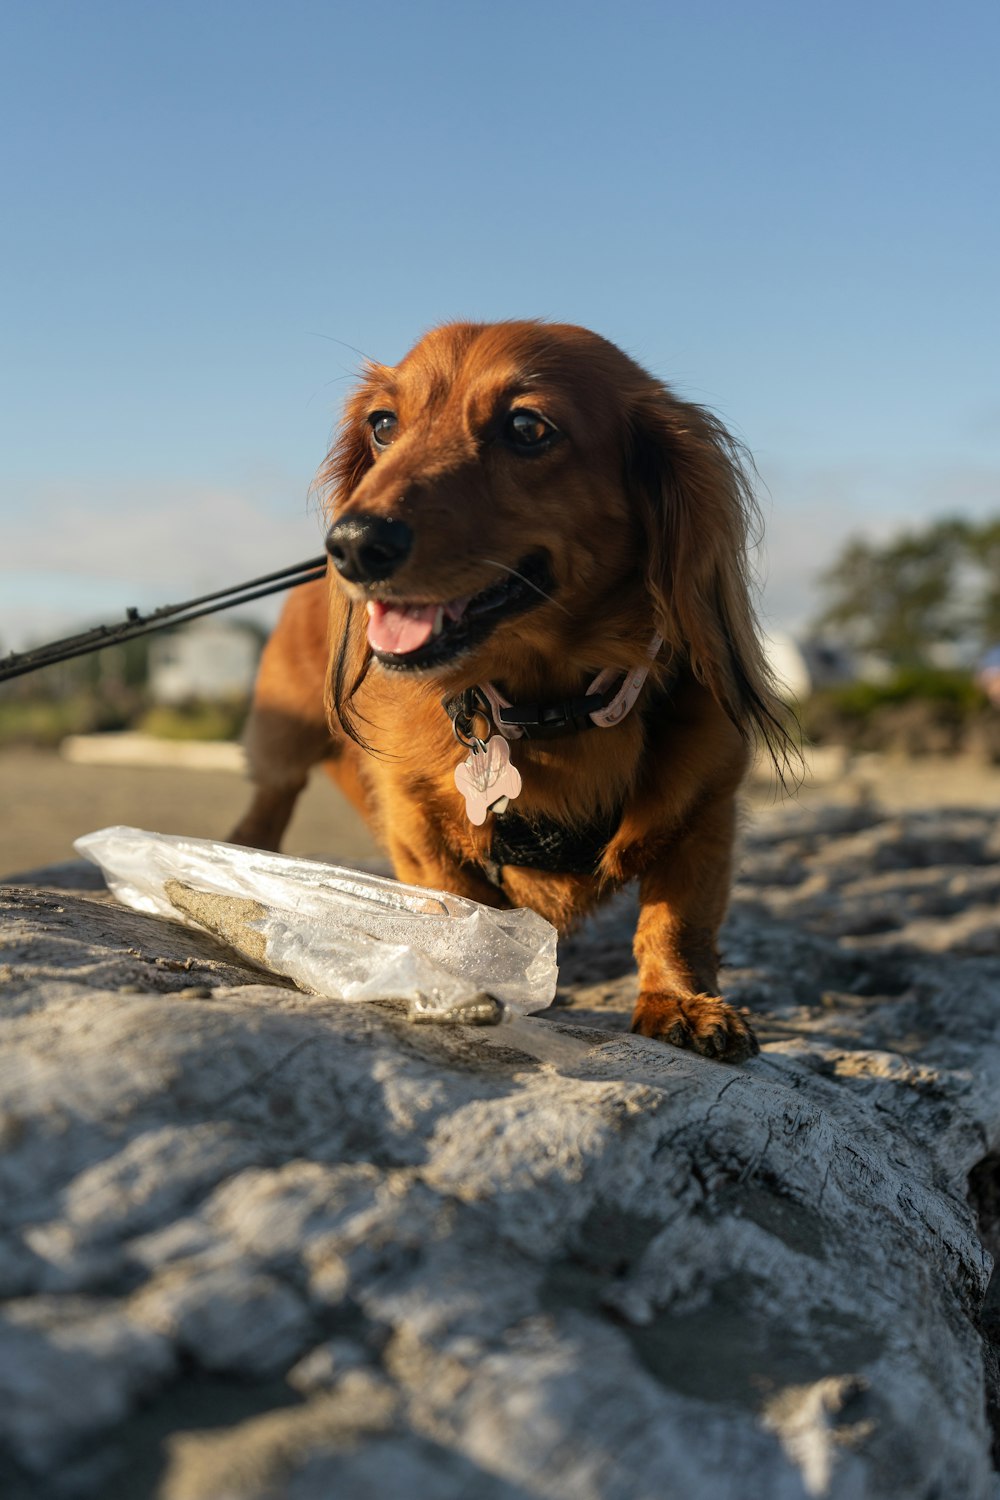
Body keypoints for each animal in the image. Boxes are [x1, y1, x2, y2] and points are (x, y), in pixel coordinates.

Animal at [230, 322, 791, 1062]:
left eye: (527, 427)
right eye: (383, 425)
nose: (351, 544)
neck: (546, 708)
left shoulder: (706, 808)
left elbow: (676, 921)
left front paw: (680, 1002)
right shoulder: (414, 822)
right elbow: (459, 910)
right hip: (283, 741)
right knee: (268, 801)